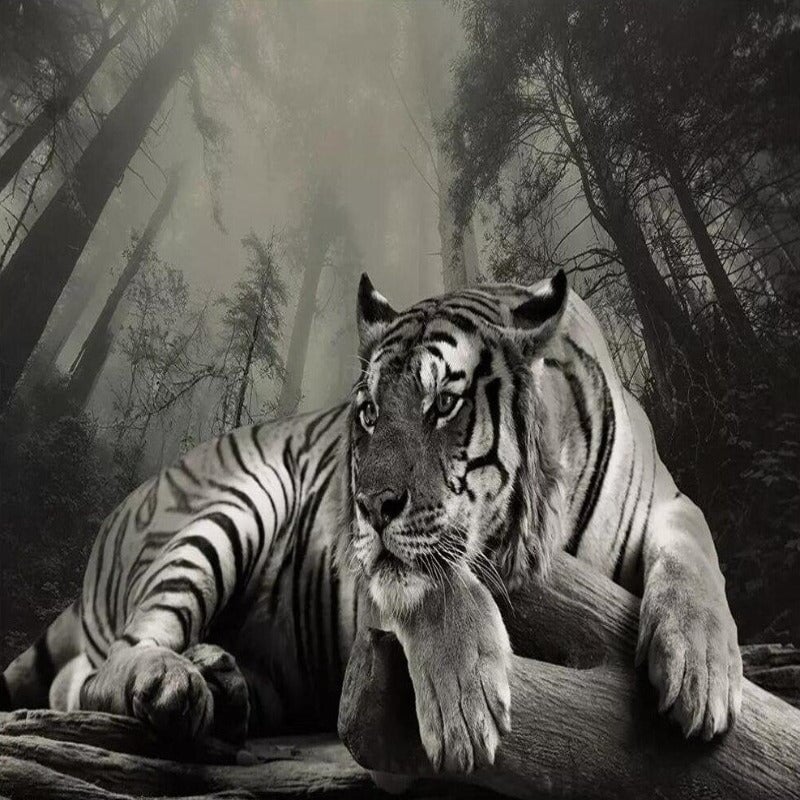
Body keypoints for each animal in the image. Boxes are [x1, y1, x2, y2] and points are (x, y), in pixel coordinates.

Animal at [1, 271, 742, 773]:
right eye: (368, 412)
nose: (366, 504)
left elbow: (698, 552)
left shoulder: (669, 499)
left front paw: (702, 674)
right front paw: (465, 705)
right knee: (94, 673)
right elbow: (433, 585)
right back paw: (172, 683)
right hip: (234, 504)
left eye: (444, 403)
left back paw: (221, 680)